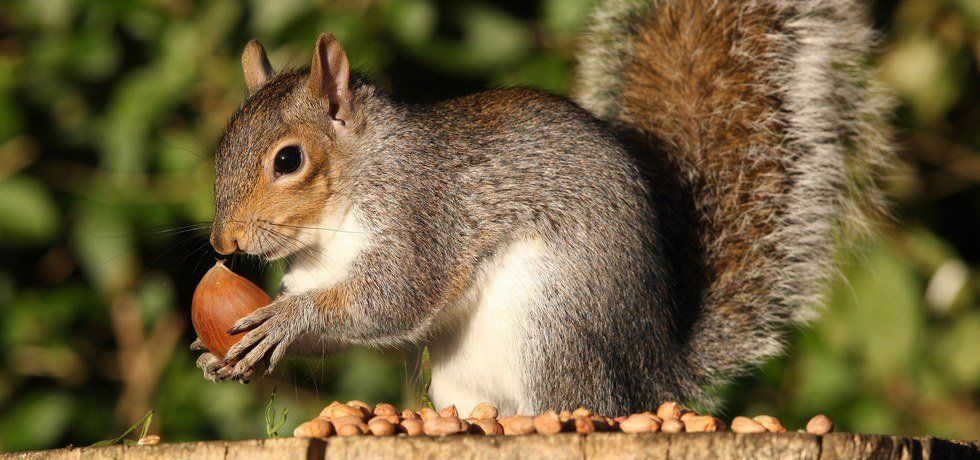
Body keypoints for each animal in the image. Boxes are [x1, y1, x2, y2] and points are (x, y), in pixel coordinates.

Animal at [193, 0, 893, 416]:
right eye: (224, 141)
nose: (224, 244)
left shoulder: (423, 216)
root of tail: (651, 381)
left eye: (288, 160)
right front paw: (223, 354)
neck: (331, 226)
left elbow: (393, 298)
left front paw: (290, 320)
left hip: (552, 327)